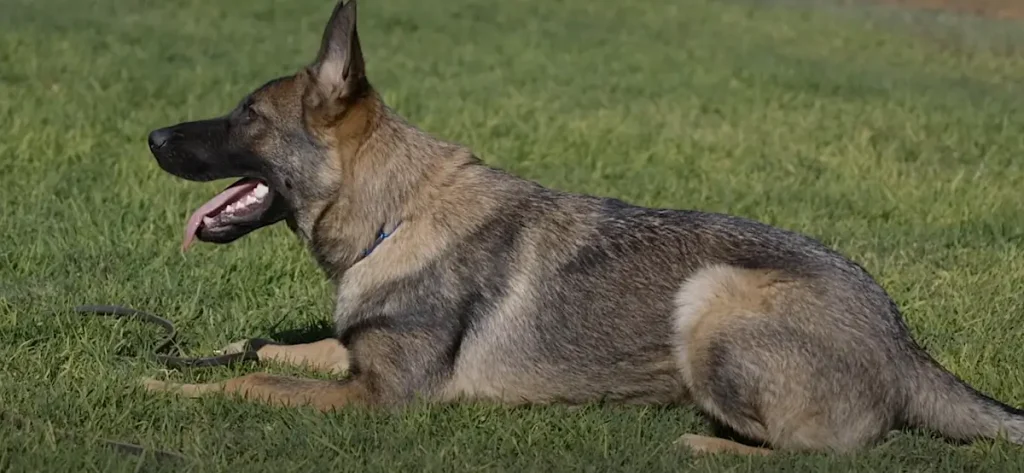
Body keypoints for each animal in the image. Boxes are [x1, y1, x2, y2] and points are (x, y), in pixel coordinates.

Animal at [142, 0, 1024, 454]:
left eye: (246, 116)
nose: (149, 137)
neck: (395, 217)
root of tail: (903, 341)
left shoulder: (382, 397)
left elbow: (253, 382)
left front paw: (162, 387)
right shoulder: (355, 358)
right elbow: (267, 349)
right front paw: (189, 361)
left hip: (712, 295)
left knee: (827, 453)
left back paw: (697, 441)